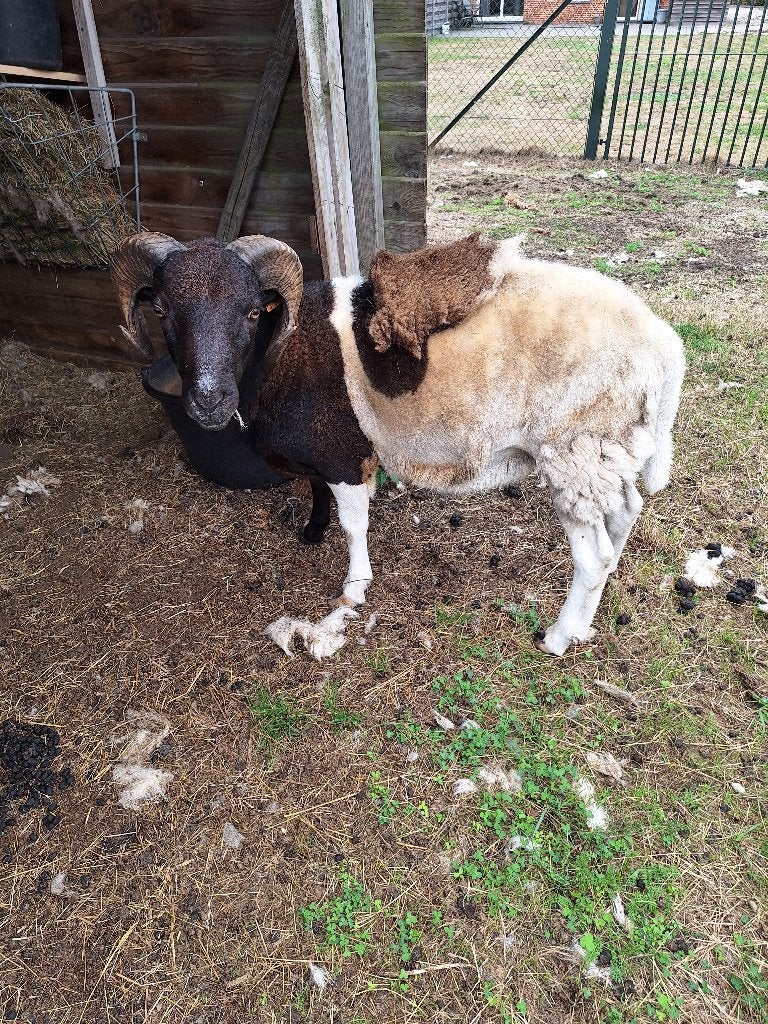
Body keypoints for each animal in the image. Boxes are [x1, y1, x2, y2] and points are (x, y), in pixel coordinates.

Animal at [112, 232, 685, 656]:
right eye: (163, 310)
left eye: (253, 312)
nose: (208, 399)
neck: (279, 356)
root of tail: (663, 344)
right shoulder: (323, 456)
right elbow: (317, 494)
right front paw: (312, 533)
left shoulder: (342, 454)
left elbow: (353, 523)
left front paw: (354, 587)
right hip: (610, 450)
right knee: (624, 518)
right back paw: (590, 615)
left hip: (575, 452)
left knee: (593, 558)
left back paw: (560, 636)